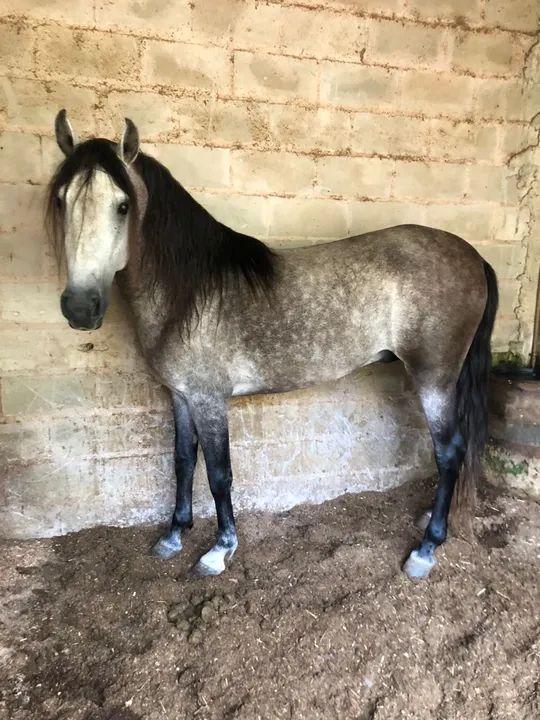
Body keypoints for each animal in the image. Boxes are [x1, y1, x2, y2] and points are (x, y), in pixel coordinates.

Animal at [46, 109, 498, 580]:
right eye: (61, 201)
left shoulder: (209, 400)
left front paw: (219, 549)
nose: (80, 307)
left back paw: (426, 548)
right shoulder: (180, 396)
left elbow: (219, 473)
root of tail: (473, 256)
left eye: (123, 205)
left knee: (448, 452)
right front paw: (173, 535)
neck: (187, 294)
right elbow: (183, 461)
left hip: (434, 378)